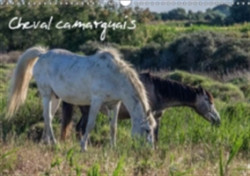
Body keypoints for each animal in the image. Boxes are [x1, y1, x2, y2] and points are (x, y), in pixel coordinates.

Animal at [6, 46, 156, 150]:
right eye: (147, 130)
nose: (150, 149)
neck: (114, 76)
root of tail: (42, 54)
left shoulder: (115, 104)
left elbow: (113, 126)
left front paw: (113, 147)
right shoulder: (96, 101)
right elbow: (90, 124)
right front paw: (83, 146)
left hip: (55, 98)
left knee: (48, 117)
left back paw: (45, 142)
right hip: (46, 94)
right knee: (48, 117)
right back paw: (54, 143)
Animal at [59, 72, 220, 141]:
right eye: (209, 101)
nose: (218, 120)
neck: (156, 90)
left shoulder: (156, 117)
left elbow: (156, 135)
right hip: (87, 111)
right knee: (81, 129)